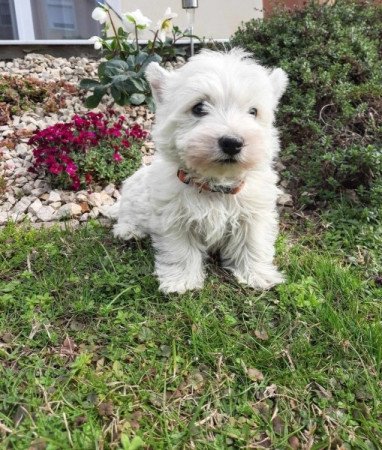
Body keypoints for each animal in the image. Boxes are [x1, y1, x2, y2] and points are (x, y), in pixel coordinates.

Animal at [112, 49, 288, 294]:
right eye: (198, 108)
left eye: (253, 111)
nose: (232, 143)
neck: (215, 185)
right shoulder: (174, 219)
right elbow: (181, 250)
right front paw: (182, 281)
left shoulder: (253, 214)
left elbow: (252, 243)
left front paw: (257, 274)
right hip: (131, 198)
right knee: (125, 215)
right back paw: (128, 231)